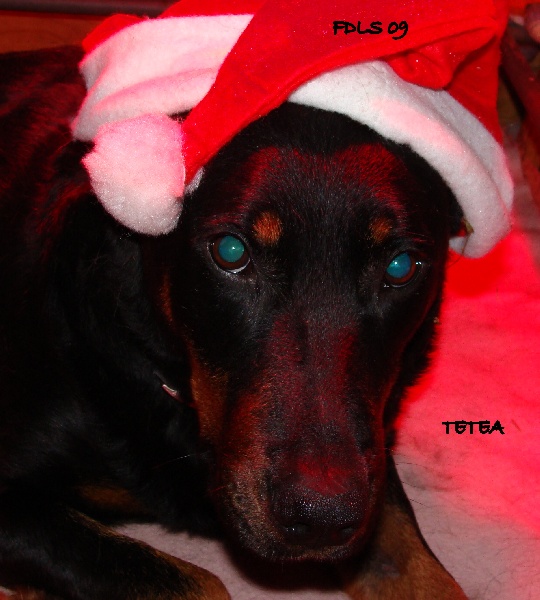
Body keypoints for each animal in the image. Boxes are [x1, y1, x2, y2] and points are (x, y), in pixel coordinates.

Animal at [0, 45, 468, 599]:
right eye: (230, 252)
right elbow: (197, 582)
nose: (321, 519)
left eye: (400, 267)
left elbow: (415, 565)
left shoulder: (370, 465)